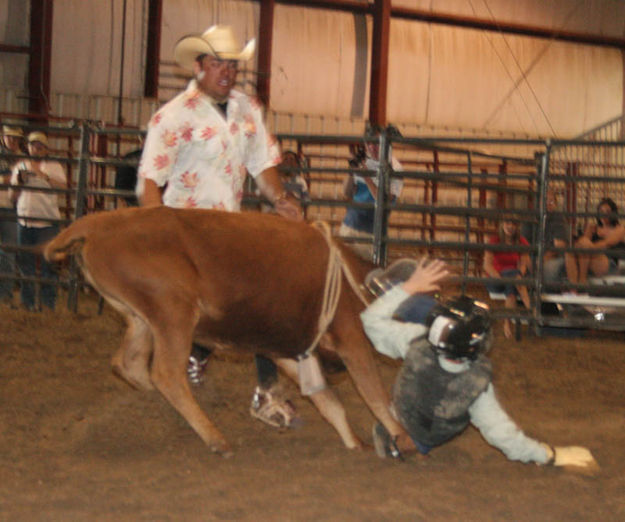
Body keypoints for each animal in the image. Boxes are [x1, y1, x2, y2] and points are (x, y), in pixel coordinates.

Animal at [45, 205, 404, 452]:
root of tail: (96, 225)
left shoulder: (288, 350)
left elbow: (329, 402)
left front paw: (355, 443)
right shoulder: (351, 338)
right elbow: (375, 394)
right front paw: (402, 437)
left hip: (139, 317)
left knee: (129, 363)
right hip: (173, 312)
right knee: (166, 374)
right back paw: (215, 438)